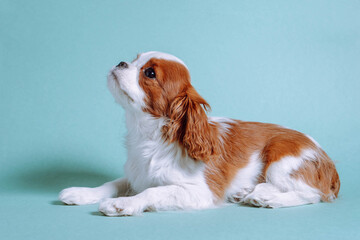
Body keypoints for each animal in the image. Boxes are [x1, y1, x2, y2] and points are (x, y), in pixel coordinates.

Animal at [59, 51, 340, 217]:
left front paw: (125, 204)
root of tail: (328, 162)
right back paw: (248, 192)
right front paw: (82, 192)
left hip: (282, 161)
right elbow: (113, 183)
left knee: (312, 194)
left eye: (149, 73)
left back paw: (266, 198)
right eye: (134, 58)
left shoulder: (198, 192)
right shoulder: (137, 175)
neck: (151, 136)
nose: (121, 62)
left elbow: (152, 192)